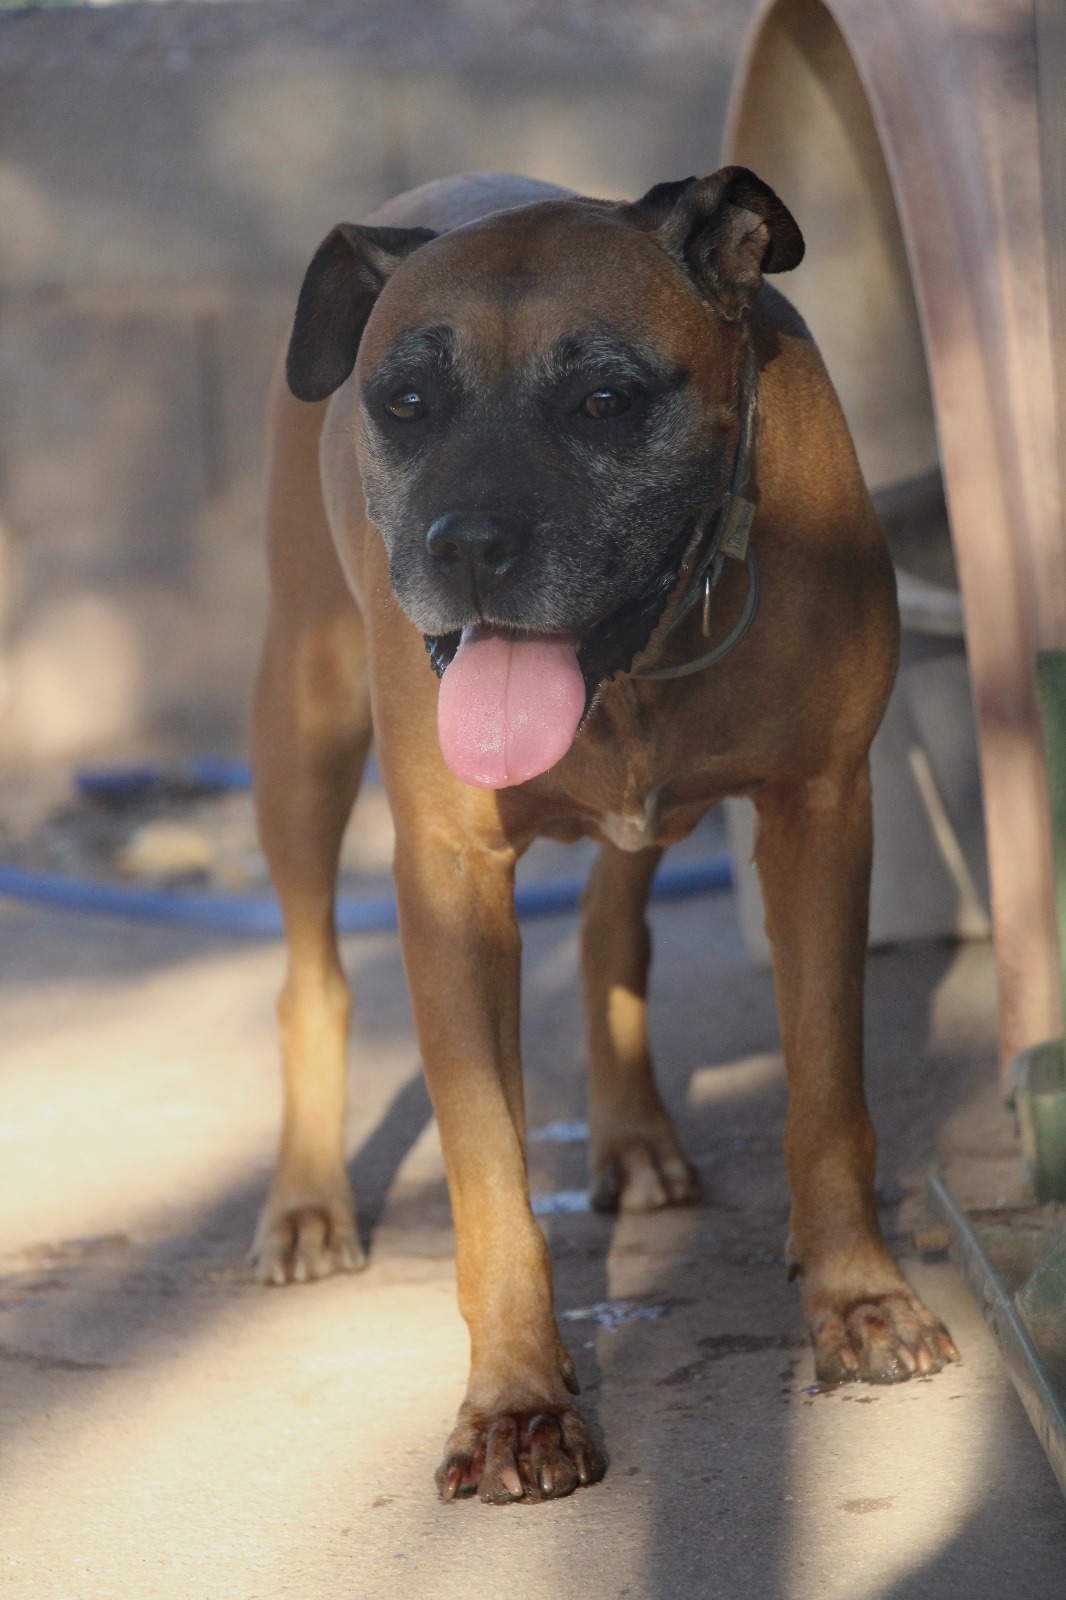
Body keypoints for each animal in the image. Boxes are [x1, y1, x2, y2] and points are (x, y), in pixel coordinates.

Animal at [248, 168, 960, 1504]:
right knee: (310, 978)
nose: (466, 548)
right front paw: (515, 1401)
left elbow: (826, 1092)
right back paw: (307, 1205)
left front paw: (855, 1297)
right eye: (405, 403)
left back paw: (632, 1136)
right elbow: (488, 1175)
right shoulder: (451, 881)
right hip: (301, 734)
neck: (644, 655)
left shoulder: (821, 811)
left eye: (605, 400)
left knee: (607, 927)